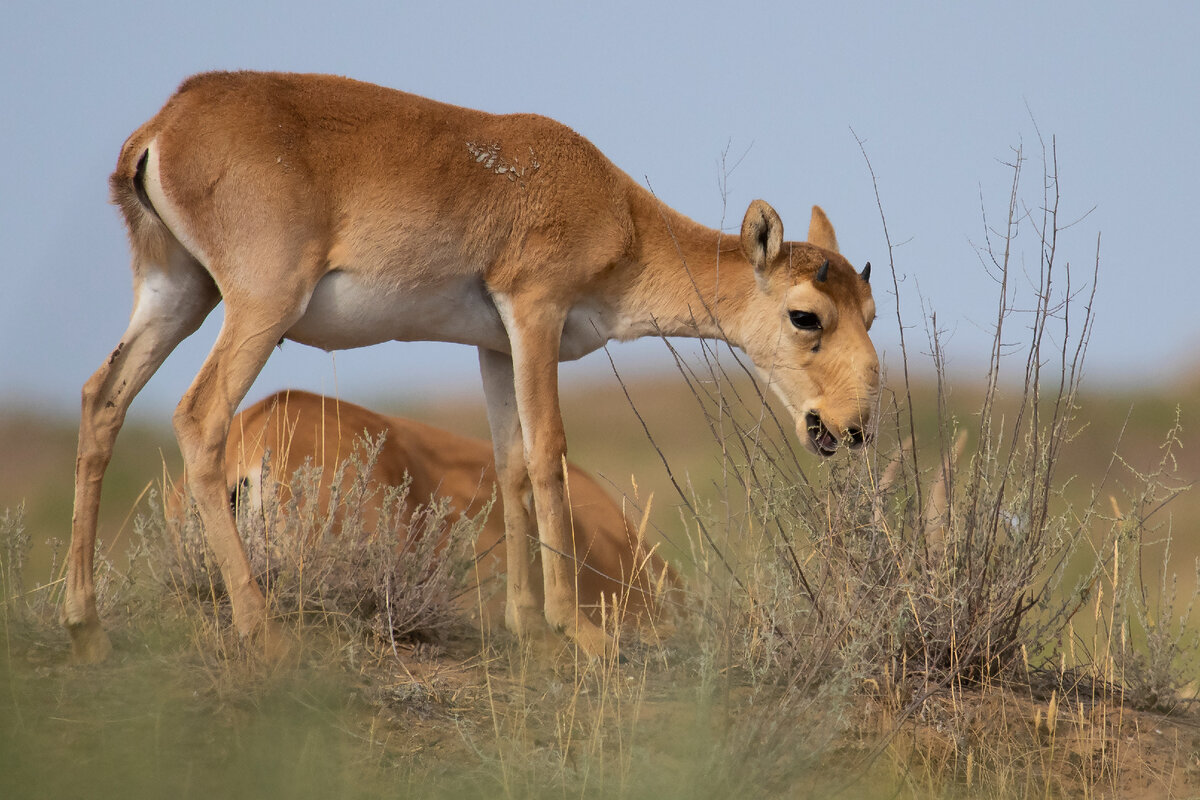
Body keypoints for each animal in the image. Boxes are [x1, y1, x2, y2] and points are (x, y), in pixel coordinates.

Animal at [65, 70, 878, 662]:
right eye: (807, 314)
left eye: (870, 310)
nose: (850, 427)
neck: (613, 208)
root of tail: (166, 125)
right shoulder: (535, 313)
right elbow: (548, 454)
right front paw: (579, 631)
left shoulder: (496, 346)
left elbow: (509, 463)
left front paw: (528, 626)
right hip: (258, 309)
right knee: (197, 415)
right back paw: (261, 630)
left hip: (178, 295)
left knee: (102, 398)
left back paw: (85, 624)